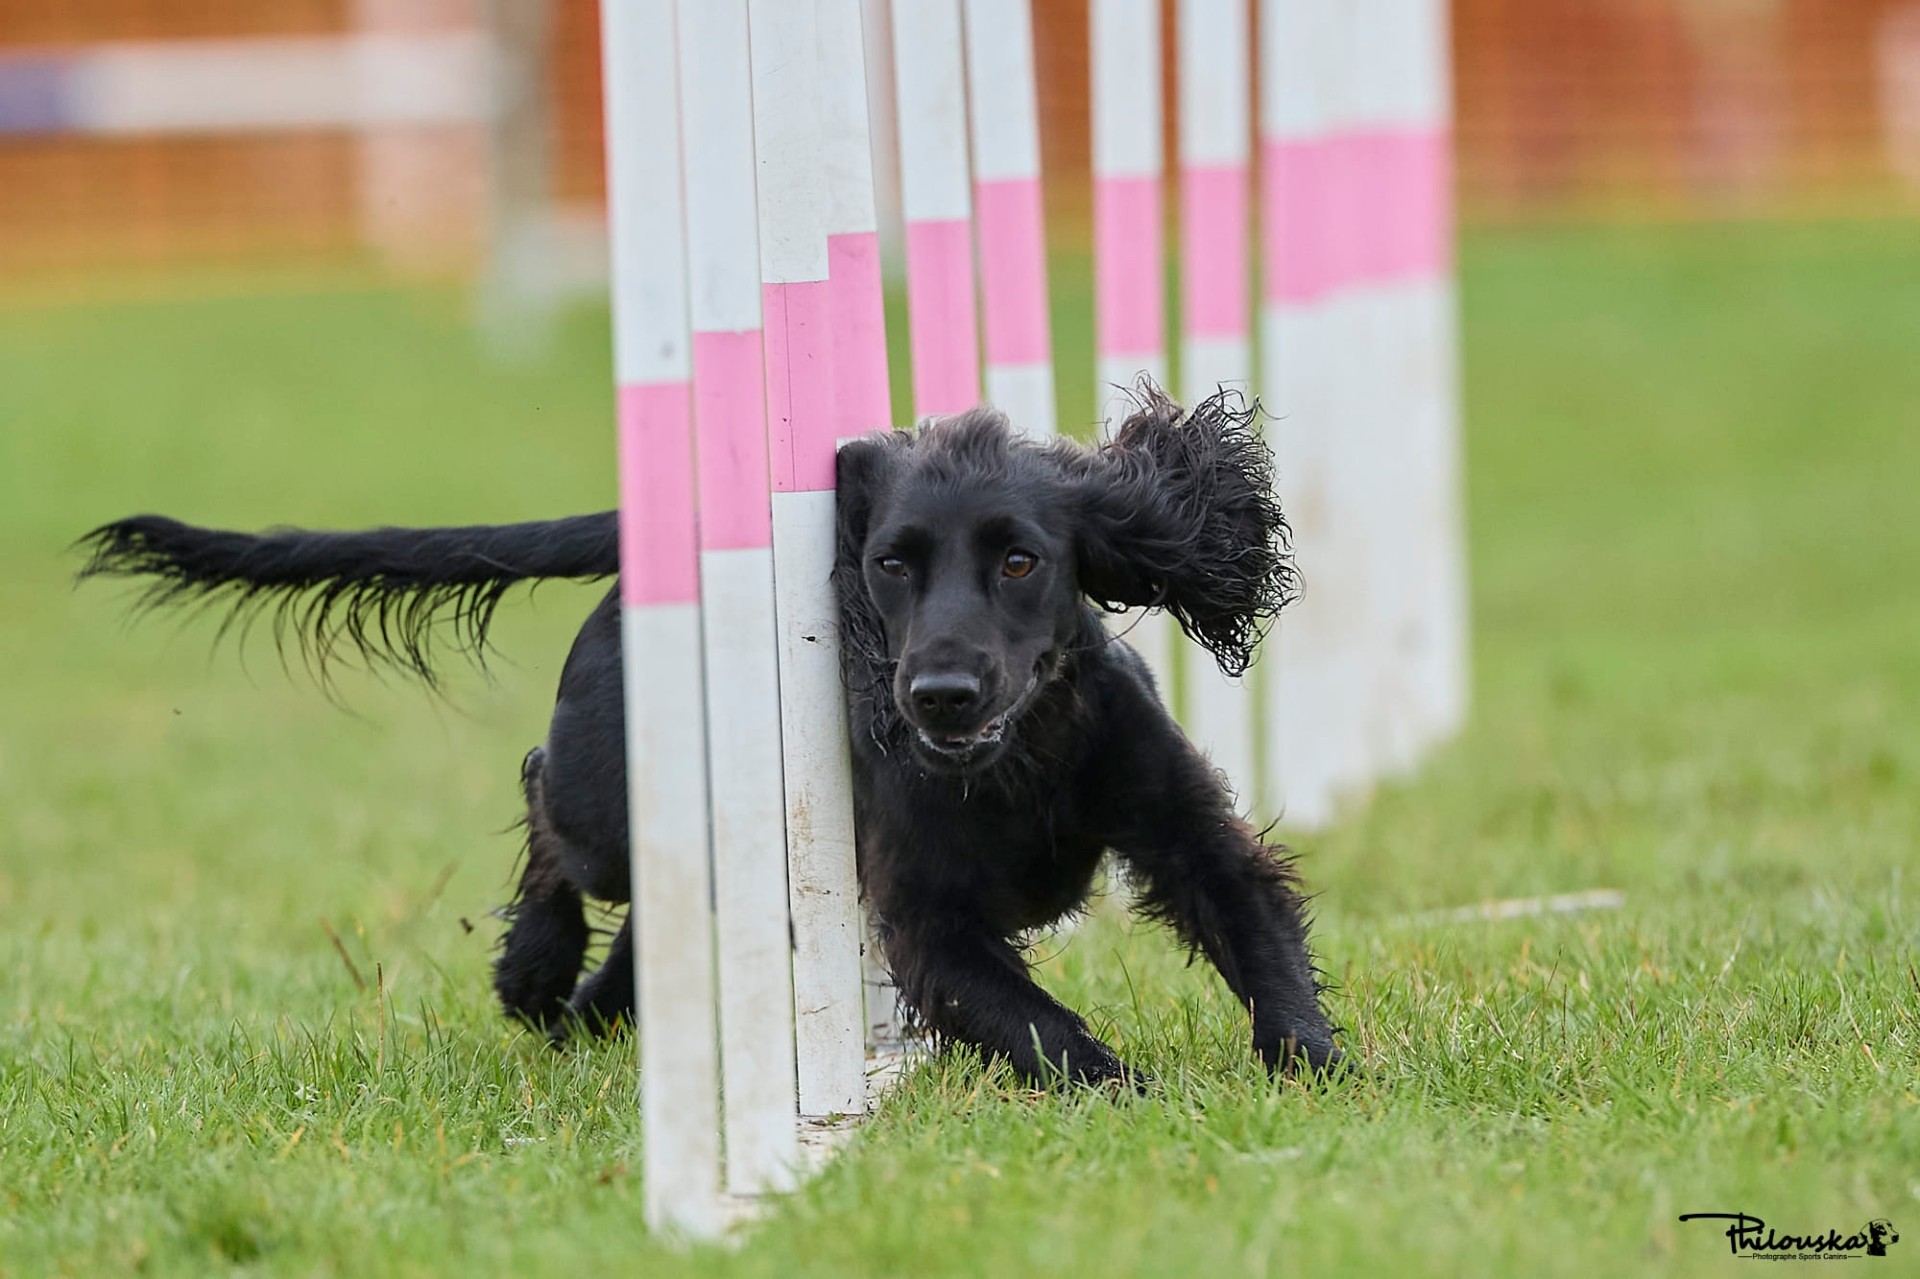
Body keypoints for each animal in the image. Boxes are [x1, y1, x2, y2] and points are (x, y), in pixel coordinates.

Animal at [74, 386, 1336, 1075]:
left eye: (1021, 559)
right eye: (890, 564)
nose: (938, 693)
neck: (1016, 765)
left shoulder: (1187, 831)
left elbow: (1258, 933)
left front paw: (1317, 1068)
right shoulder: (930, 921)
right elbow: (1037, 1028)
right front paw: (1131, 1093)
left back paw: (584, 1009)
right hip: (608, 800)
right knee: (545, 806)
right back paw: (534, 970)